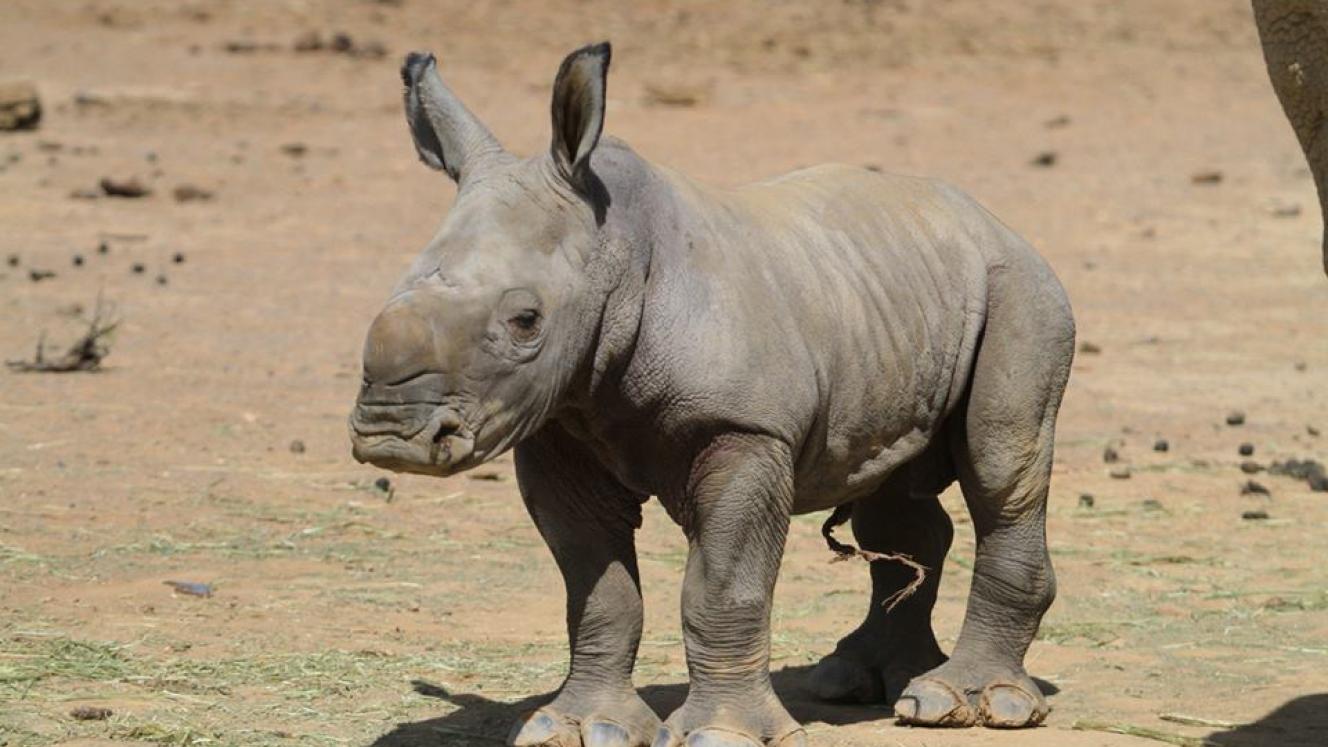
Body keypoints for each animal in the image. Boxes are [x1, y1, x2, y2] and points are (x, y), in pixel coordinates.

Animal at [350, 43, 1075, 746]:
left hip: (1021, 290)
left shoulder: (744, 429)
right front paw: (579, 728)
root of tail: (995, 221)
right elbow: (597, 588)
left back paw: (969, 704)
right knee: (896, 487)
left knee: (1000, 467)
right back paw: (861, 683)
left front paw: (718, 734)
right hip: (894, 299)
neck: (616, 250)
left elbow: (723, 588)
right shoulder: (559, 427)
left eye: (525, 321)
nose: (392, 436)